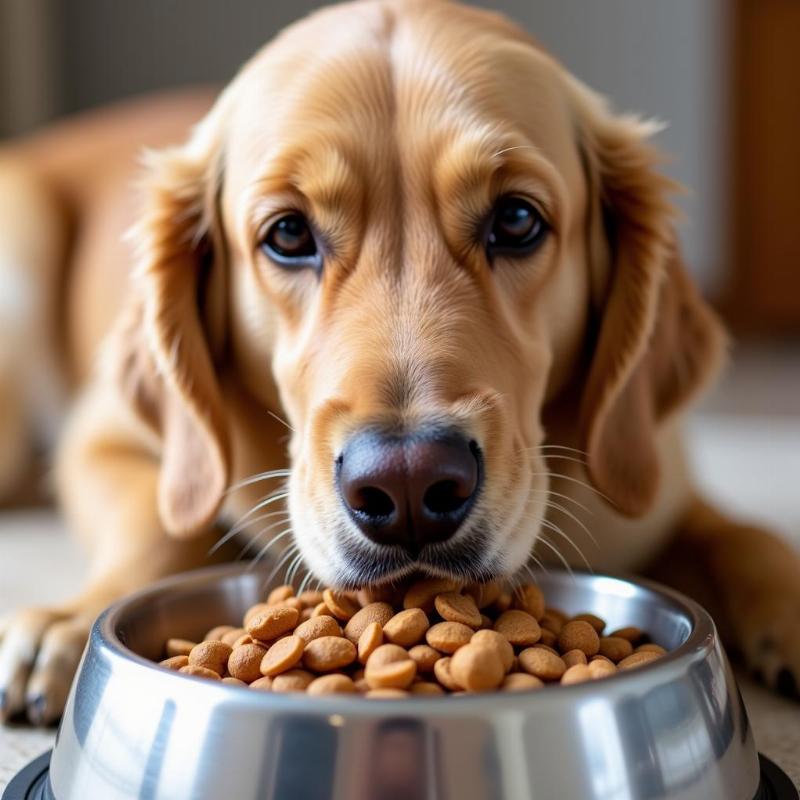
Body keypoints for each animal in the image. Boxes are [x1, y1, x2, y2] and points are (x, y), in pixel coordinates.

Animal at [1, 0, 800, 724]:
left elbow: (744, 534)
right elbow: (163, 523)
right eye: (288, 234)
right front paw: (68, 621)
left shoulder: (652, 480)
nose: (409, 484)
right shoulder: (105, 441)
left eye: (517, 219)